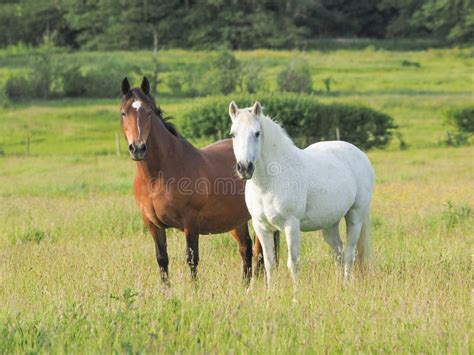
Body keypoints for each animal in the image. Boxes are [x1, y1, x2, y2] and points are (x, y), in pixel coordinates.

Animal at [119, 76, 278, 286]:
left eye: (148, 113)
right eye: (123, 113)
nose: (137, 148)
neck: (157, 176)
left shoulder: (190, 223)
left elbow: (191, 259)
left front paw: (194, 290)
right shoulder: (153, 224)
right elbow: (162, 259)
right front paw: (166, 290)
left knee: (262, 251)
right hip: (237, 220)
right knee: (246, 248)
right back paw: (245, 285)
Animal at [229, 101, 374, 288]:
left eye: (257, 133)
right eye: (233, 134)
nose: (244, 168)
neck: (270, 182)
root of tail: (360, 154)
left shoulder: (291, 225)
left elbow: (293, 263)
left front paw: (296, 293)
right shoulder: (261, 227)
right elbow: (269, 264)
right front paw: (271, 292)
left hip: (355, 216)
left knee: (349, 254)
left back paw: (346, 285)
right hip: (329, 224)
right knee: (339, 253)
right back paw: (339, 285)